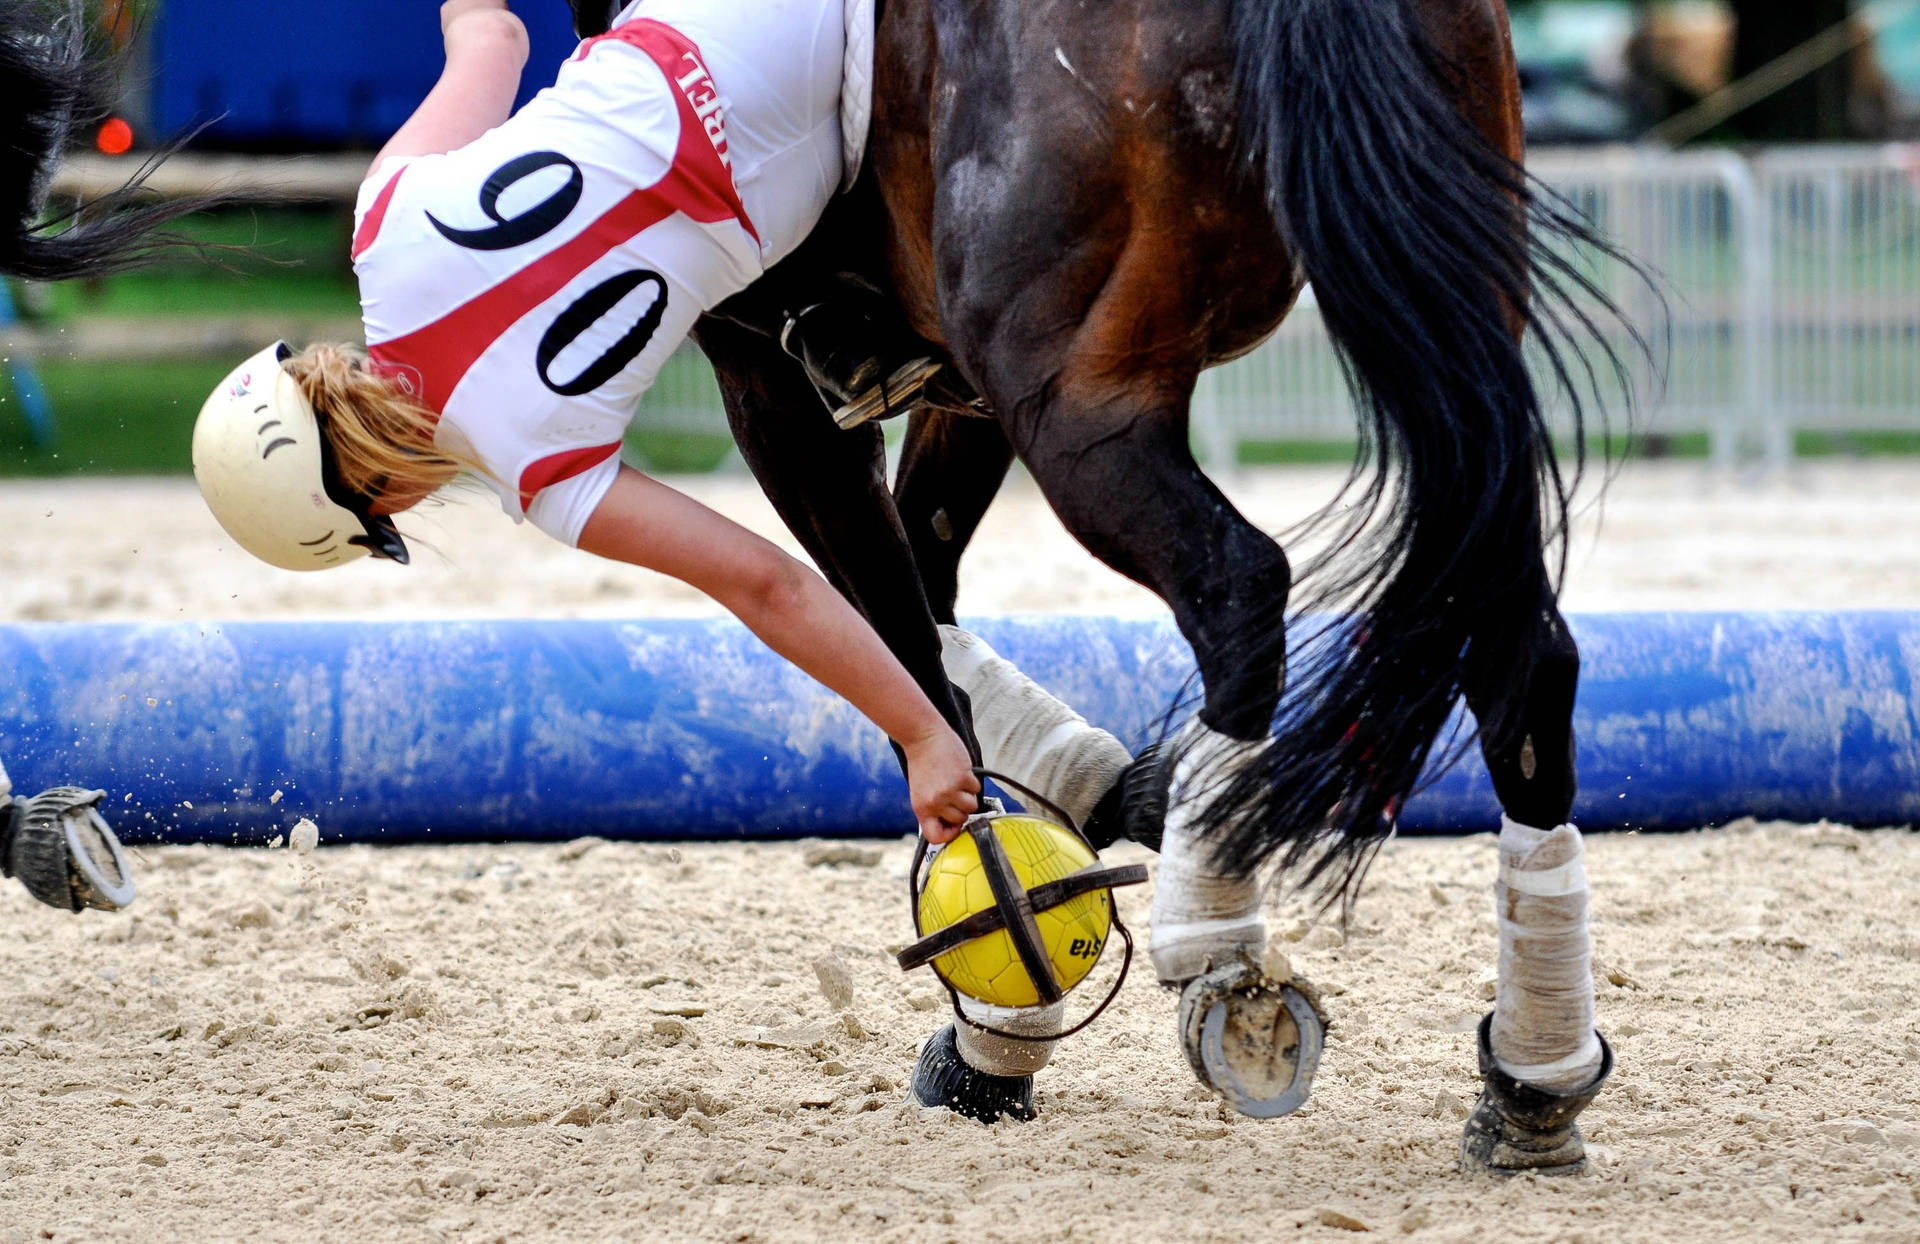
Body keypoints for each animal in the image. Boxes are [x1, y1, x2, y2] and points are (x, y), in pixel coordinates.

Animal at [572, 0, 1635, 1174]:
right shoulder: (949, 381)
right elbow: (923, 610)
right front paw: (1092, 822)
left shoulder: (771, 376)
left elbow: (899, 648)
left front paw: (1001, 982)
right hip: (1449, 329)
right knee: (1519, 656)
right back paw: (1533, 1082)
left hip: (1073, 390)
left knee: (1238, 585)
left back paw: (1216, 937)